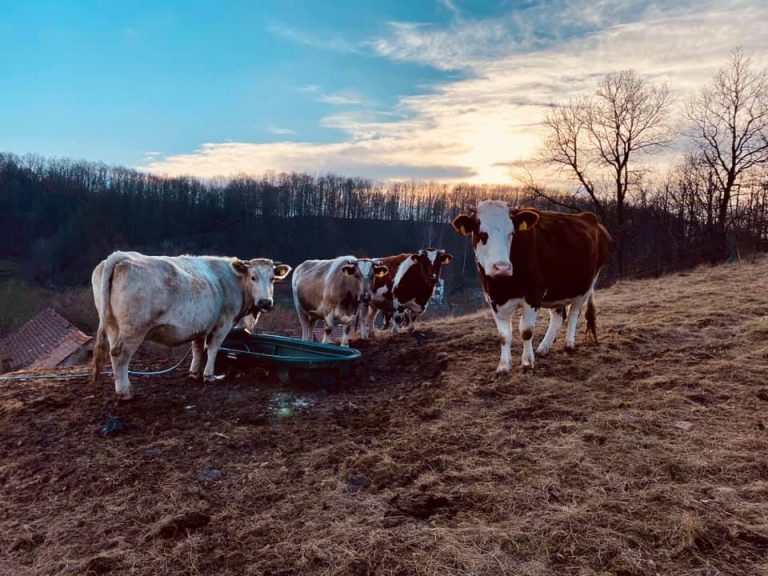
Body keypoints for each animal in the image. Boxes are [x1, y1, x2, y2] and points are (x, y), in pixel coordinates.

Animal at [90, 250, 292, 398]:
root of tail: (120, 255)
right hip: (134, 328)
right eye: (253, 277)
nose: (265, 302)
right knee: (120, 355)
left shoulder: (201, 325)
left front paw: (194, 373)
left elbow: (198, 348)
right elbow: (212, 349)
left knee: (113, 353)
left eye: (273, 278)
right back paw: (125, 392)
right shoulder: (223, 323)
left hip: (112, 325)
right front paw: (209, 376)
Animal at [450, 200, 612, 376]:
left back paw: (569, 344)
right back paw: (543, 348)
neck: (502, 286)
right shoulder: (493, 299)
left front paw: (527, 362)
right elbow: (503, 335)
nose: (502, 267)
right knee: (558, 316)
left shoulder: (533, 296)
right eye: (482, 233)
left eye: (511, 233)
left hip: (586, 285)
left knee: (574, 313)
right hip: (557, 290)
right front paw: (503, 366)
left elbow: (526, 331)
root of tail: (590, 217)